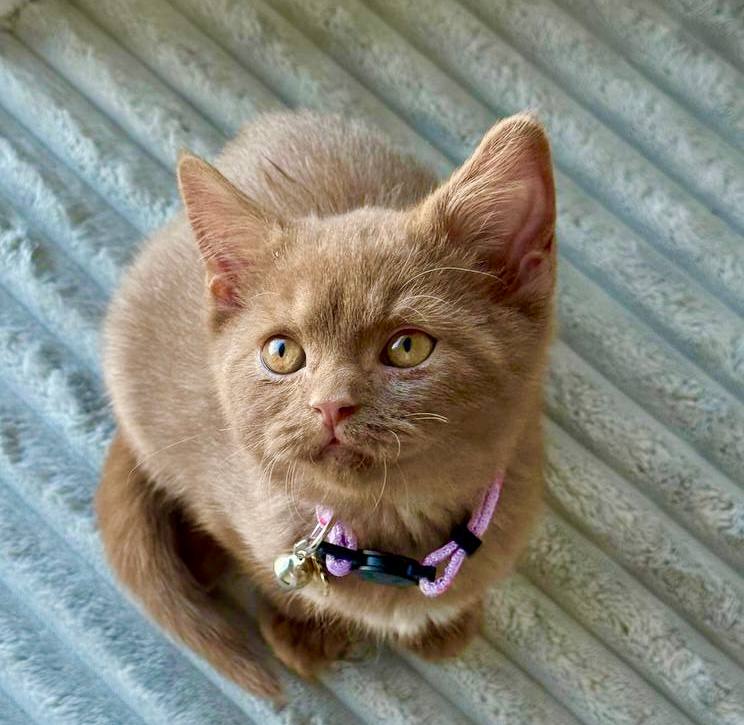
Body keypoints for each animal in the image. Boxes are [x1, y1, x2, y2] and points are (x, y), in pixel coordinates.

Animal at [96, 110, 556, 699]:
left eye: (408, 347)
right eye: (282, 352)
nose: (331, 405)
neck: (389, 531)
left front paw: (447, 621)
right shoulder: (231, 500)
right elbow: (266, 571)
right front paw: (303, 625)